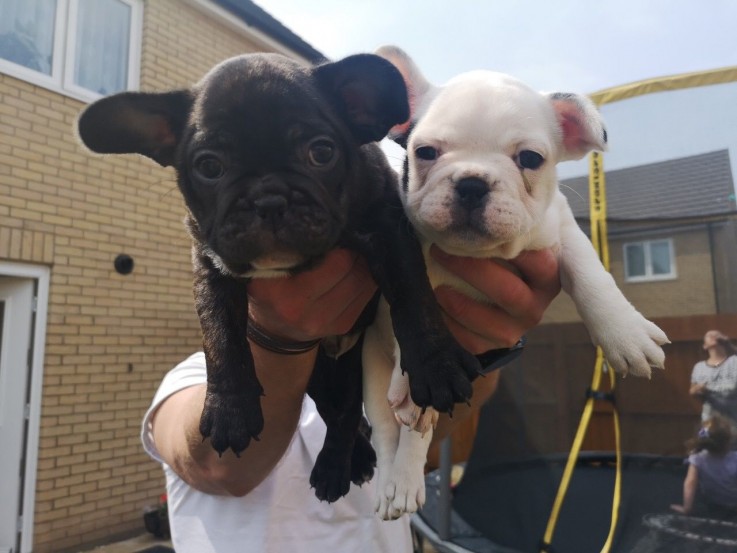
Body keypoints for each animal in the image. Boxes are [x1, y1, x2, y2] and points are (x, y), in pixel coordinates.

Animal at [77, 51, 480, 500]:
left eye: (321, 152)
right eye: (209, 166)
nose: (268, 199)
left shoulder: (388, 229)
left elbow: (413, 296)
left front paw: (435, 363)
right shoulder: (211, 267)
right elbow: (219, 334)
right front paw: (230, 408)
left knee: (343, 412)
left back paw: (338, 467)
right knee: (336, 412)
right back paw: (350, 461)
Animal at [362, 45, 668, 520]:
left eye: (530, 159)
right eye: (426, 151)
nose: (471, 182)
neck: (478, 253)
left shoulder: (560, 226)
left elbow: (590, 273)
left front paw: (626, 333)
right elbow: (415, 309)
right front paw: (416, 385)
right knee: (387, 431)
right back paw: (397, 482)